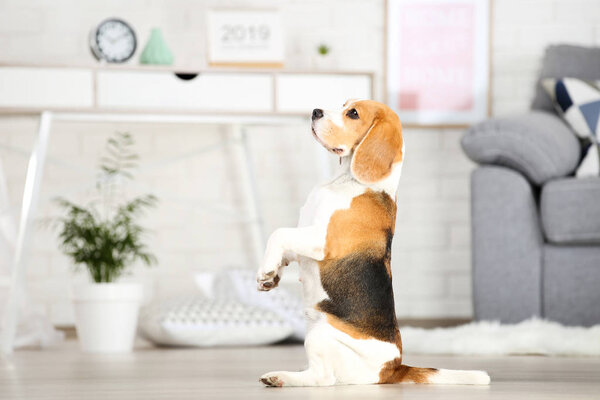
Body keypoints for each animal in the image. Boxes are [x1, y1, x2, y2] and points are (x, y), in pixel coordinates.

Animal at [255, 100, 490, 388]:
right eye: (344, 105)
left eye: (353, 113)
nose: (315, 112)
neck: (347, 179)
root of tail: (392, 368)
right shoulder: (304, 237)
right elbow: (285, 247)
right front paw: (271, 276)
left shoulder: (322, 240)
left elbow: (278, 233)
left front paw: (266, 269)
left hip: (320, 333)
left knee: (323, 378)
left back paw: (281, 377)